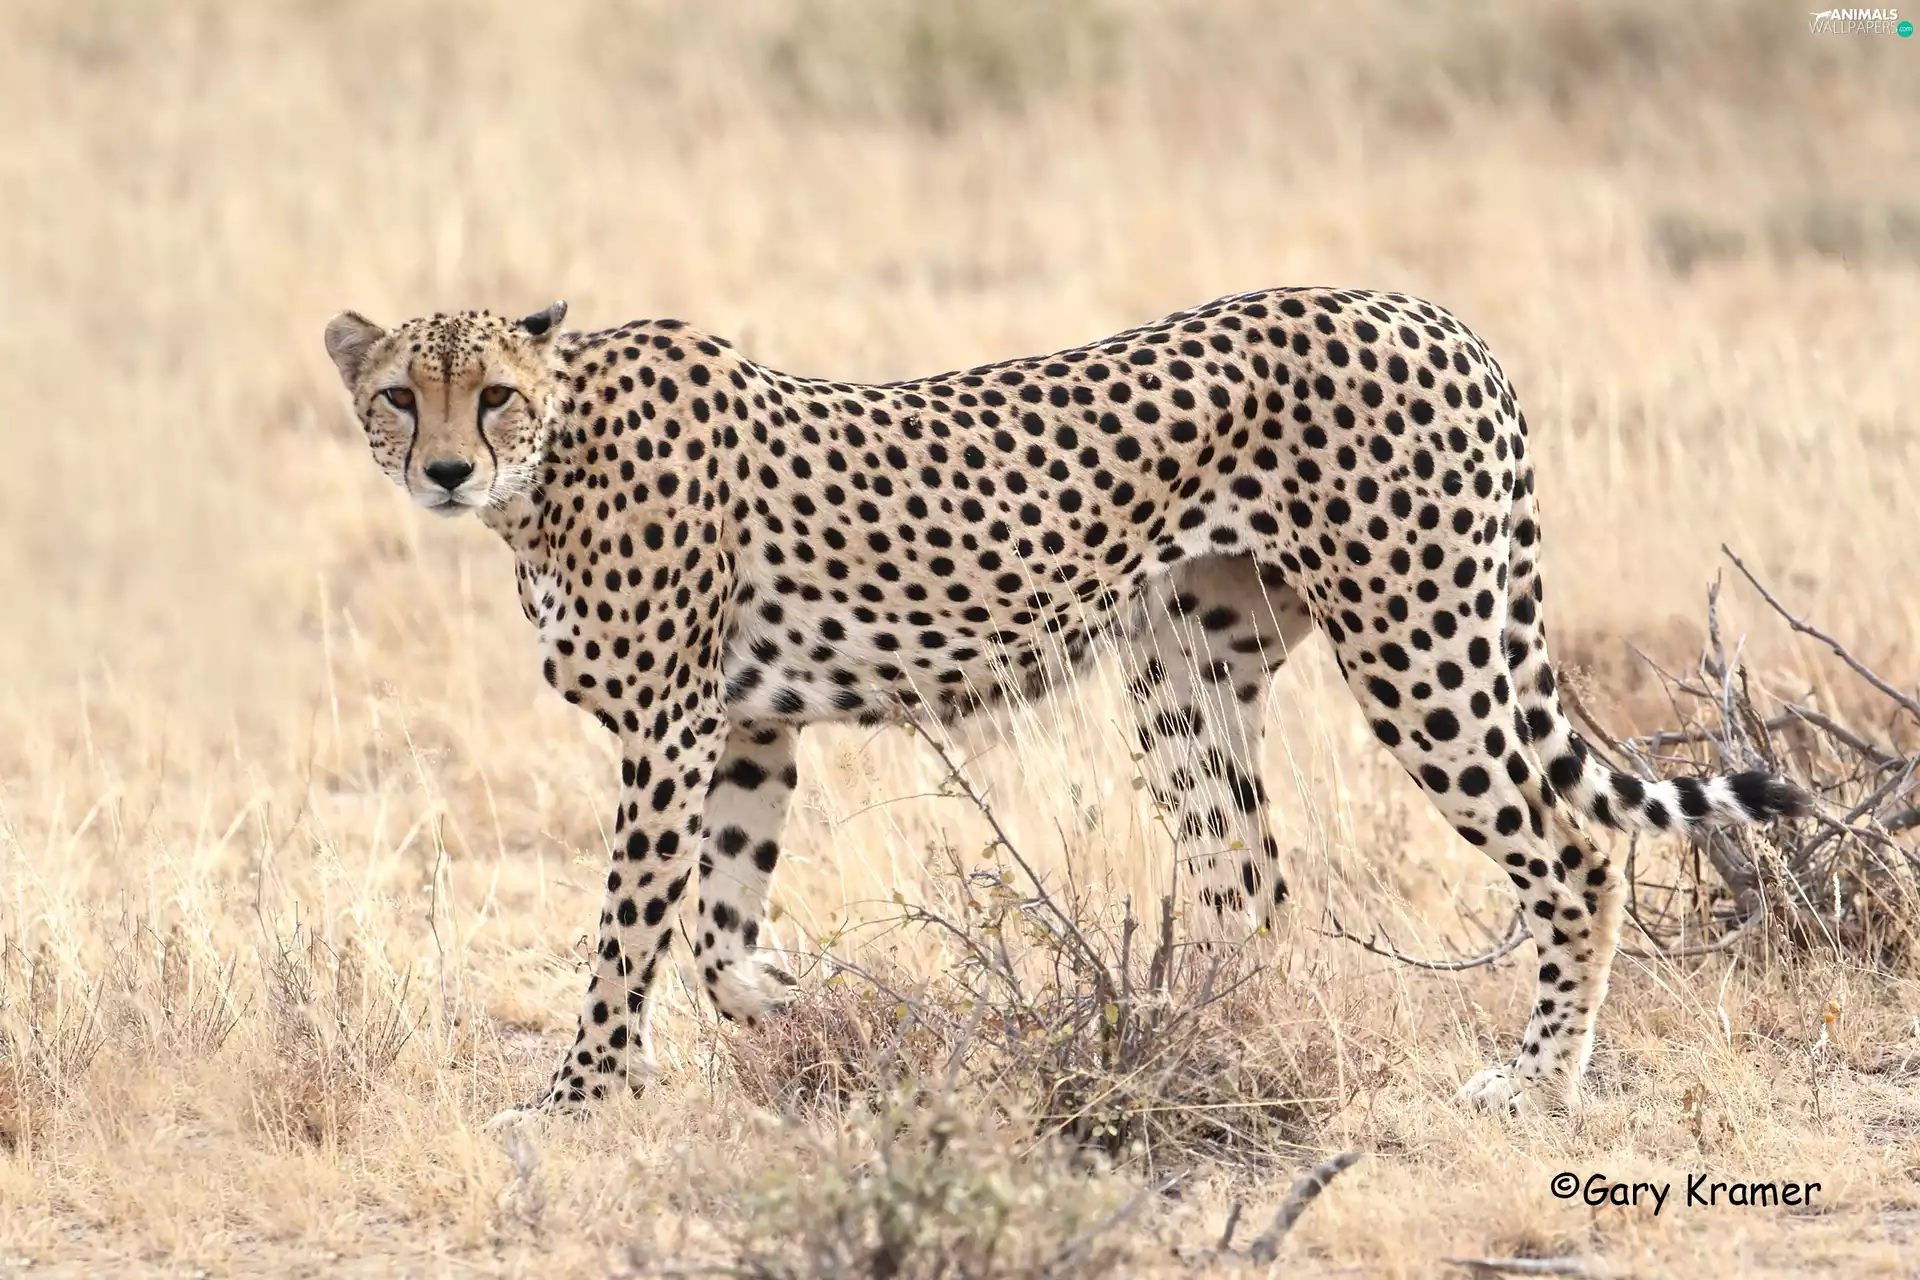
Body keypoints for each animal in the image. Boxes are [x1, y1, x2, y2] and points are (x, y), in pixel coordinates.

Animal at [323, 286, 1808, 1119]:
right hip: (1189, 670)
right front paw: (809, 1010)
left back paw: (1537, 1077)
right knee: (1249, 882)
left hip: (1421, 642)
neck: (550, 463)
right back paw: (1191, 1043)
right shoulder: (748, 725)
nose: (446, 470)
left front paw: (577, 1091)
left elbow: (632, 929)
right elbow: (715, 934)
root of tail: (1428, 314)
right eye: (398, 394)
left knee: (1575, 847)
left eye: (492, 396)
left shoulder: (673, 726)